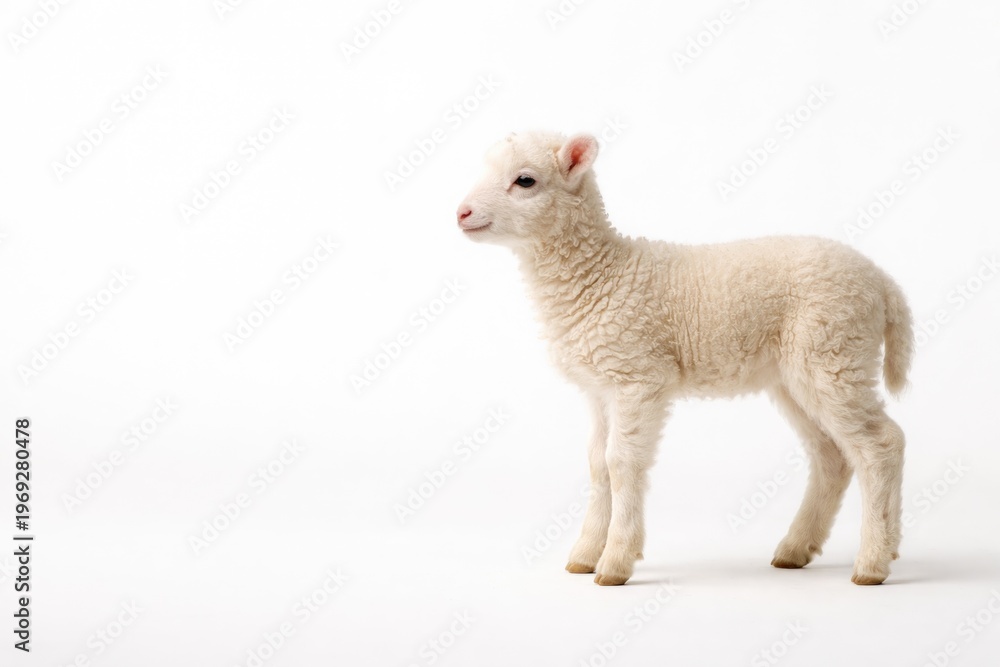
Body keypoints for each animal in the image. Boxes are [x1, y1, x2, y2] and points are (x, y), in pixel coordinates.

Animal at [456, 131, 914, 586]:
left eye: (525, 180)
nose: (461, 213)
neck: (602, 274)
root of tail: (883, 282)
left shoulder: (637, 375)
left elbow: (621, 463)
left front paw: (615, 561)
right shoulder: (601, 388)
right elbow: (597, 465)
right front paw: (585, 555)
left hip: (834, 351)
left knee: (881, 445)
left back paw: (872, 562)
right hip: (798, 374)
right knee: (831, 456)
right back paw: (801, 548)